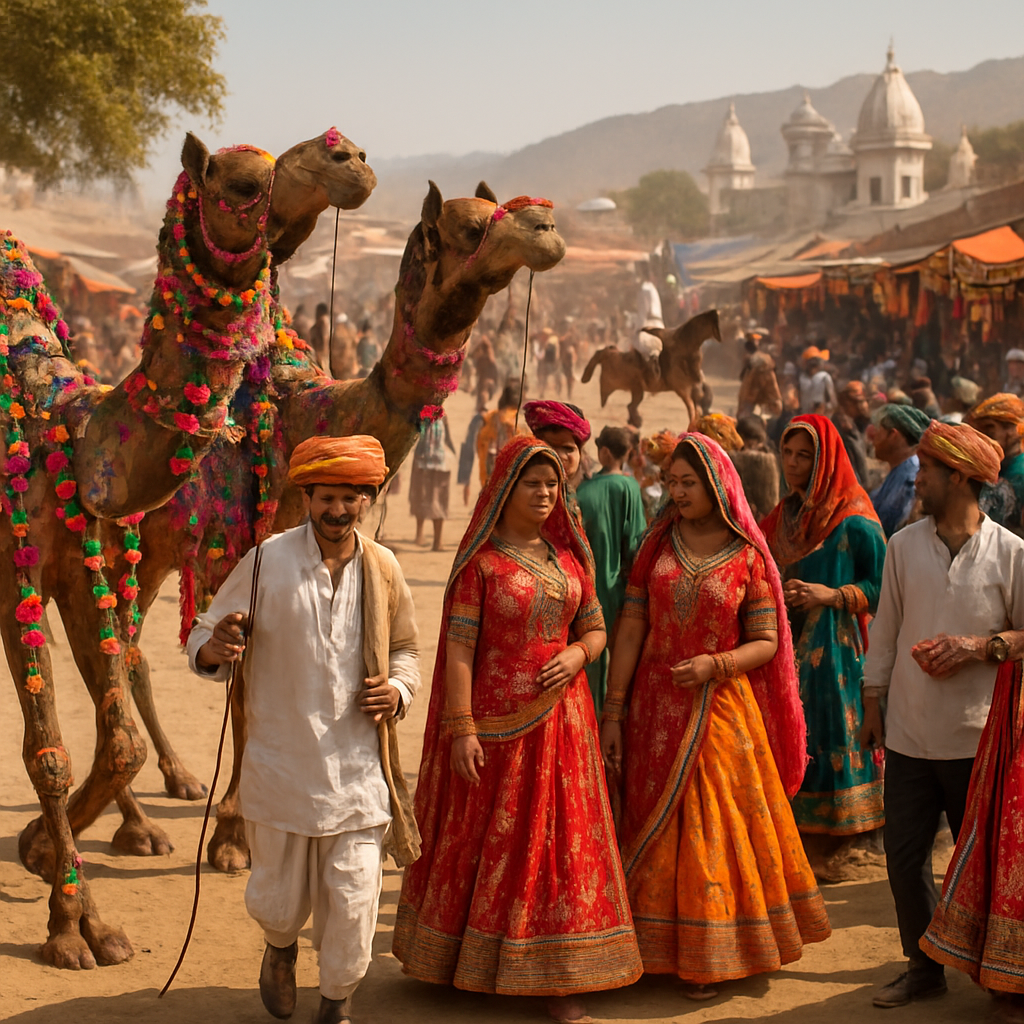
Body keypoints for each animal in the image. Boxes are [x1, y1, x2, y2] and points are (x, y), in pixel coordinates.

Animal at [3, 129, 376, 969]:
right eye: (240, 183)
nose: (346, 159)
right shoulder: (14, 566)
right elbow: (49, 751)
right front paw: (70, 929)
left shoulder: (77, 560)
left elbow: (117, 741)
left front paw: (59, 880)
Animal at [580, 309, 722, 428]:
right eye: (716, 321)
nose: (720, 337)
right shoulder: (682, 389)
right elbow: (693, 410)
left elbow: (695, 408)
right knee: (604, 352)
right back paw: (585, 377)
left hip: (634, 386)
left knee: (630, 404)